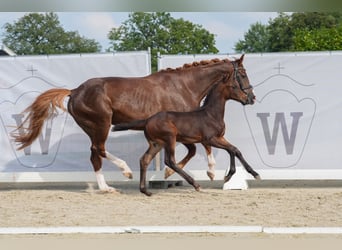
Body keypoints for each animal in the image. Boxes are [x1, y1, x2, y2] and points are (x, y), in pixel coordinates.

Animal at [12, 55, 243, 191]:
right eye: (242, 74)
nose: (250, 97)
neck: (183, 86)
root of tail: (75, 91)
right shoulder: (184, 129)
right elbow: (201, 147)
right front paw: (210, 172)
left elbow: (199, 148)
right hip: (102, 123)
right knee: (99, 149)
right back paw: (125, 171)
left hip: (91, 127)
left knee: (94, 154)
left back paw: (105, 187)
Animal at [113, 58, 260, 195]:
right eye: (238, 81)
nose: (251, 98)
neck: (210, 114)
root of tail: (148, 120)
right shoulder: (210, 139)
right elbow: (231, 150)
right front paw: (226, 175)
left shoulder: (220, 137)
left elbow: (235, 150)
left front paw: (251, 174)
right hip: (170, 138)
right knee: (170, 161)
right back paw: (195, 184)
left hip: (156, 143)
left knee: (145, 159)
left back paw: (145, 190)